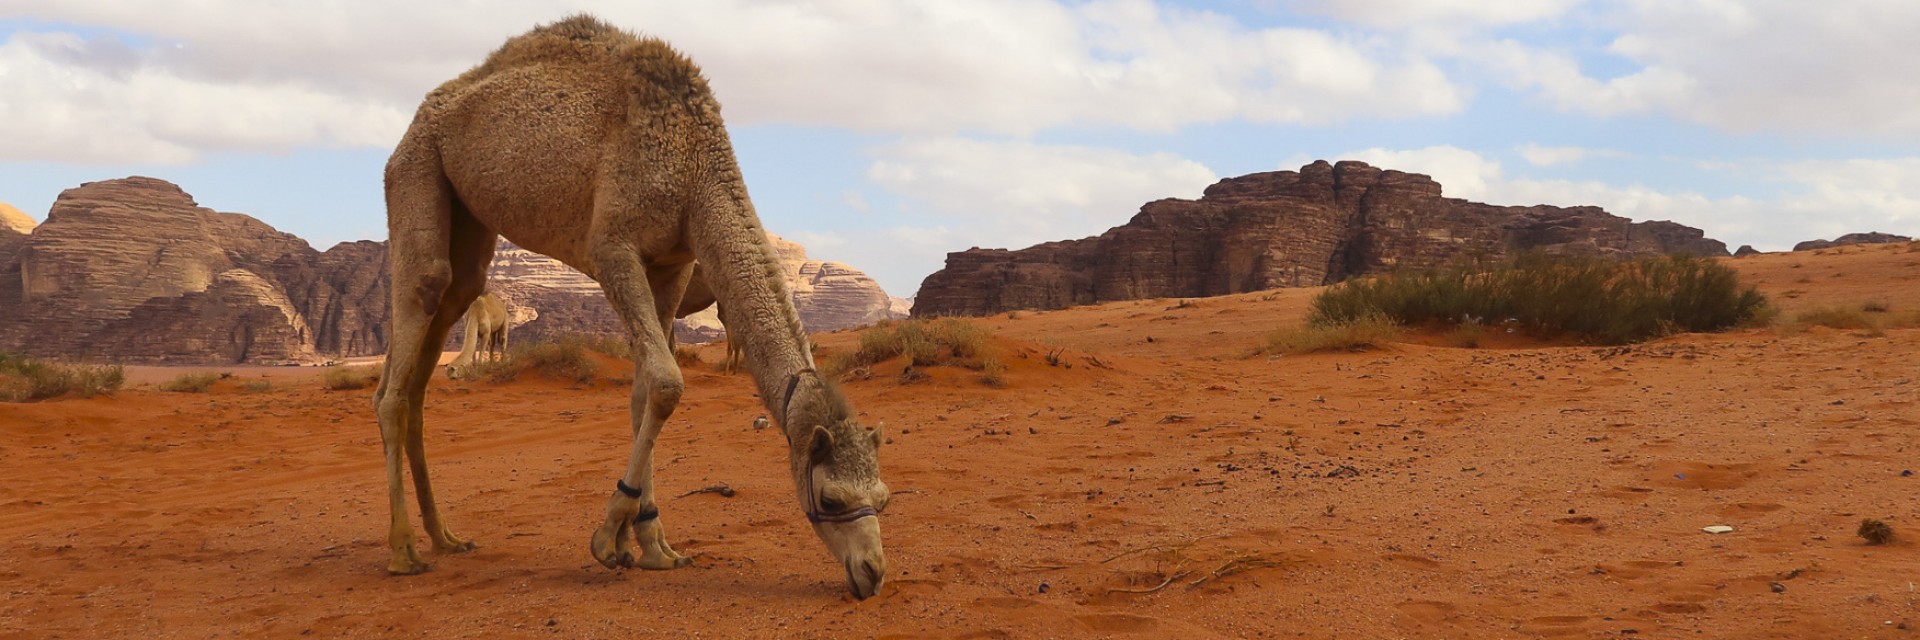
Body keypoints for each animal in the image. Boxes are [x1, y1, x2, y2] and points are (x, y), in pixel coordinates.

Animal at [374, 14, 890, 599]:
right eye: (831, 498)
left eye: (883, 497)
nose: (872, 572)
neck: (693, 169)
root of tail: (425, 111)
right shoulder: (614, 248)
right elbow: (667, 383)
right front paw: (608, 537)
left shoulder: (671, 265)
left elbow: (646, 392)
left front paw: (651, 544)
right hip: (416, 166)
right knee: (416, 316)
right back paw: (404, 551)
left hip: (467, 219)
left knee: (442, 327)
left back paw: (445, 537)